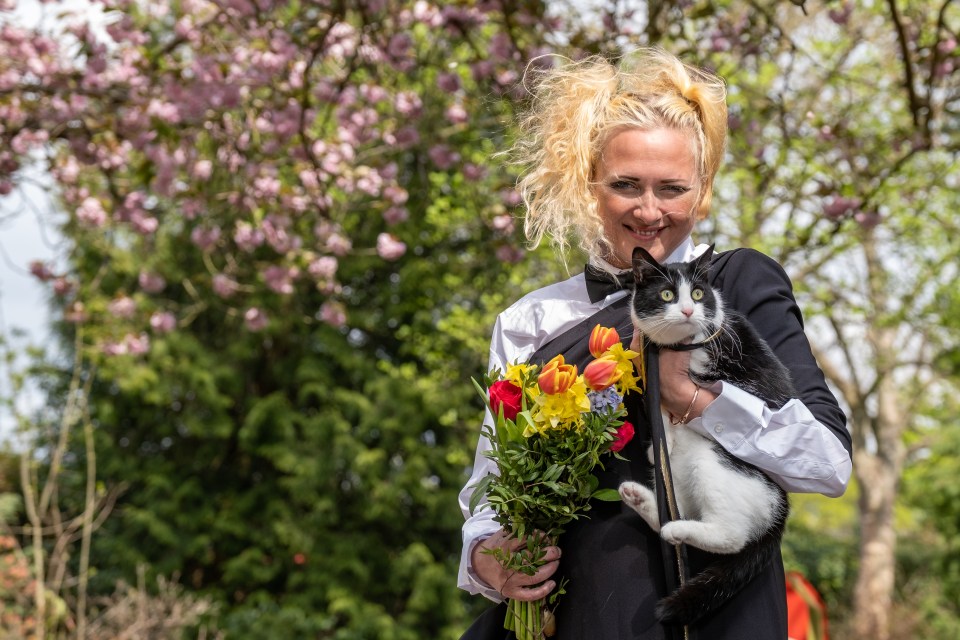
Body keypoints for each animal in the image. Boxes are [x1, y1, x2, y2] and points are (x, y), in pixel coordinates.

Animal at [620, 245, 792, 624]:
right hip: (674, 475)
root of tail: (781, 511)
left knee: (731, 535)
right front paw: (661, 439)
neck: (671, 348)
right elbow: (662, 413)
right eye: (667, 295)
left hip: (717, 460)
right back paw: (640, 498)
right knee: (679, 506)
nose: (688, 310)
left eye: (698, 294)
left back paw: (676, 529)